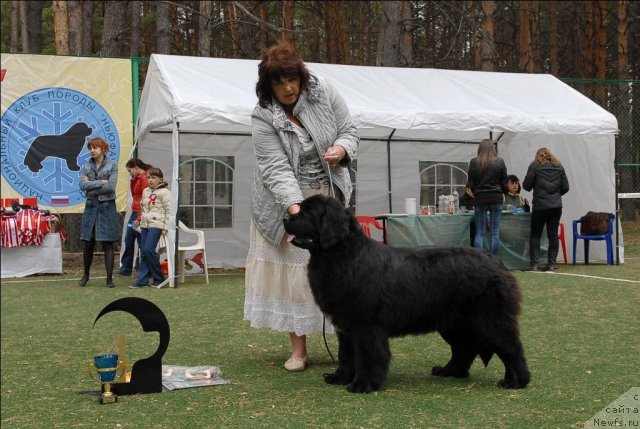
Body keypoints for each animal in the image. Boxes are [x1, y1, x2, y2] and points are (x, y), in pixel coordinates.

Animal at [284, 193, 528, 392]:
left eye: (307, 212)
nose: (285, 218)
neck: (343, 255)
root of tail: (497, 262)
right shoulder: (345, 326)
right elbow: (346, 355)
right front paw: (339, 378)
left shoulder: (366, 325)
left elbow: (367, 356)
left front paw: (363, 384)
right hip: (454, 323)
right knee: (464, 348)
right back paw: (449, 371)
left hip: (490, 319)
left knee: (510, 348)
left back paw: (515, 381)